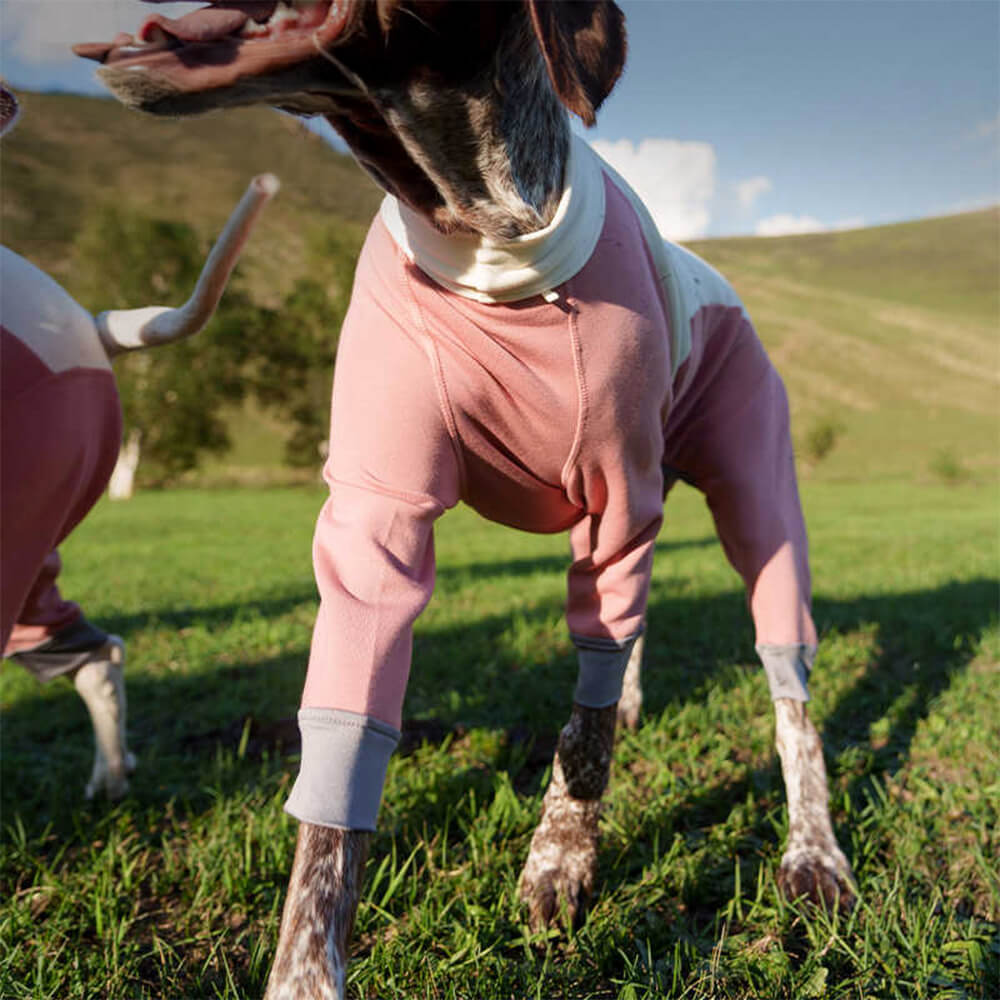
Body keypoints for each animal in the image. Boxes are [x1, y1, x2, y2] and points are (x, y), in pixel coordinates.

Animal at [78, 3, 860, 996]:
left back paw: (813, 850)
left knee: (786, 685)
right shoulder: (377, 519)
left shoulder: (617, 501)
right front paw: (305, 969)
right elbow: (337, 789)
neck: (487, 232)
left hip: (756, 498)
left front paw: (559, 857)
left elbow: (584, 727)